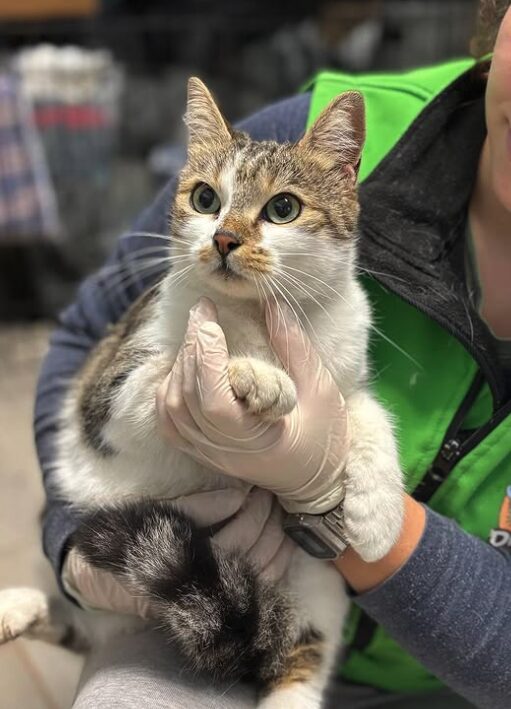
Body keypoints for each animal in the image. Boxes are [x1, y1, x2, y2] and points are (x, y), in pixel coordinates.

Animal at [0, 79, 404, 708]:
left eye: (283, 208)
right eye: (206, 198)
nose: (224, 237)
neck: (258, 315)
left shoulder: (340, 373)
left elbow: (365, 414)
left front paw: (380, 515)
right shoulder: (108, 389)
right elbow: (174, 370)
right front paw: (257, 374)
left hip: (316, 588)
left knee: (301, 659)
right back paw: (18, 607)